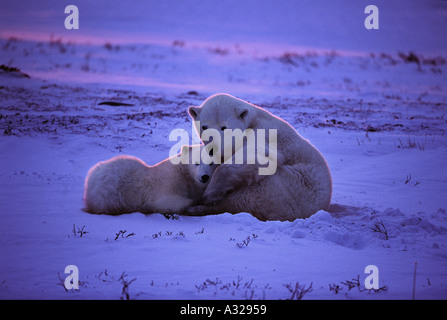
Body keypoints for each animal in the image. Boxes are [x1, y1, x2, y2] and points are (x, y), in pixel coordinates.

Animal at [84, 145, 219, 215]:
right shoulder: (170, 183)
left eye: (211, 162)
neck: (185, 174)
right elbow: (168, 202)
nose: (204, 176)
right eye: (196, 163)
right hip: (111, 191)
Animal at [186, 94, 332, 221]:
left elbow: (260, 155)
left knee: (245, 199)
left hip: (286, 189)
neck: (252, 119)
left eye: (224, 127)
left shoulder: (265, 132)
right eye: (204, 126)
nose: (212, 149)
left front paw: (209, 193)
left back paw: (199, 207)